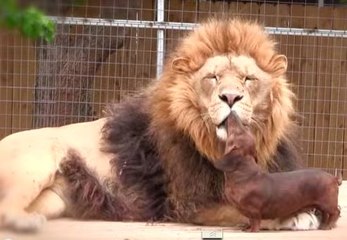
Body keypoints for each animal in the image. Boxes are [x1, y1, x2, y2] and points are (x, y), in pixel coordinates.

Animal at [0, 18, 324, 232]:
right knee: (5, 210)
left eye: (248, 79)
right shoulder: (190, 203)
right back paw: (29, 223)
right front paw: (296, 216)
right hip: (38, 160)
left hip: (53, 199)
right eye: (213, 77)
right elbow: (245, 210)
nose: (230, 97)